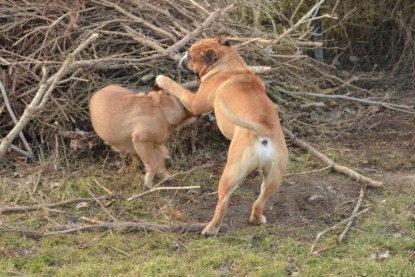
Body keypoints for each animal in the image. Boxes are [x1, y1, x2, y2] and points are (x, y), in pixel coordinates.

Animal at [156, 36, 290, 235]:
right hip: (274, 177)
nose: (183, 54)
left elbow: (178, 88)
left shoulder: (195, 102)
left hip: (231, 173)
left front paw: (163, 79)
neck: (228, 66)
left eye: (191, 55)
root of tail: (264, 133)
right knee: (261, 200)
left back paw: (211, 229)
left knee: (223, 204)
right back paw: (256, 219)